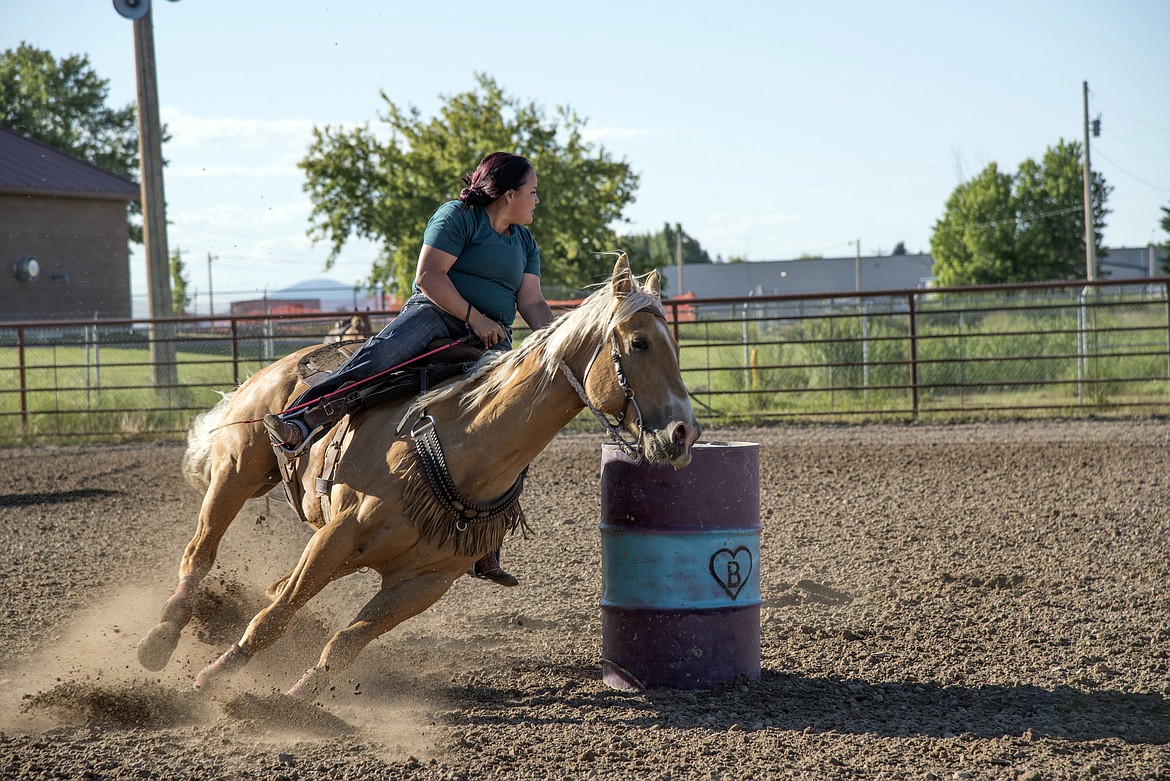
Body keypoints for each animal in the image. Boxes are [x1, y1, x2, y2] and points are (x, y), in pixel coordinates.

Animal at [140, 254, 697, 696]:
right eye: (641, 342)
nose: (684, 432)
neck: (462, 445)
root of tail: (287, 363)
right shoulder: (338, 536)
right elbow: (274, 619)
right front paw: (215, 678)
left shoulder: (426, 582)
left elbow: (346, 641)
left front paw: (295, 702)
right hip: (238, 473)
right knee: (200, 553)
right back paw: (158, 643)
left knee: (271, 584)